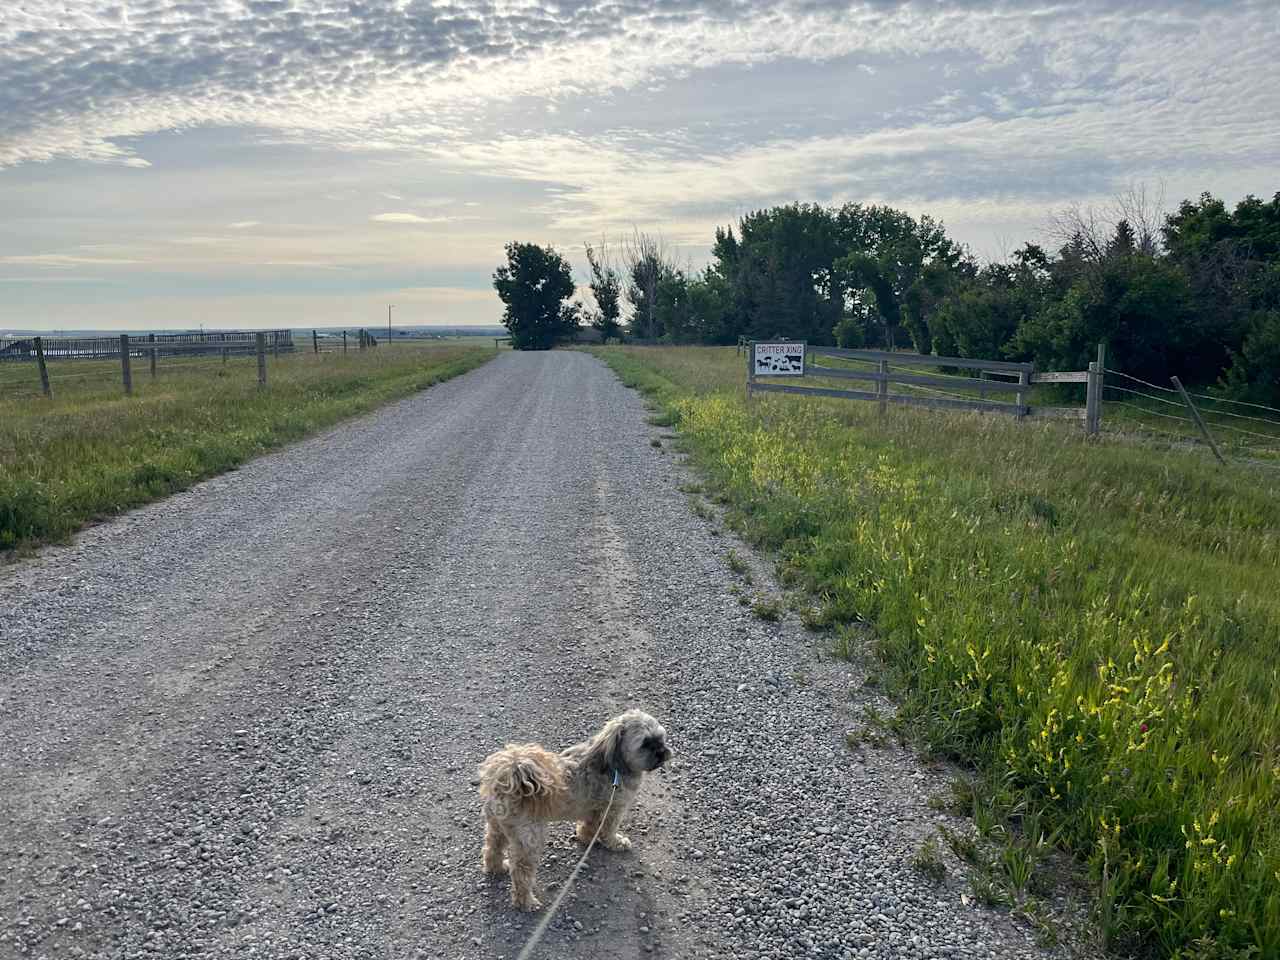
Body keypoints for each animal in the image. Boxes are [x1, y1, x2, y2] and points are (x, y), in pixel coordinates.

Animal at [478, 711, 670, 911]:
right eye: (645, 743)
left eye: (661, 738)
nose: (663, 752)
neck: (614, 765)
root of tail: (508, 777)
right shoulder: (613, 809)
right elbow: (608, 831)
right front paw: (616, 843)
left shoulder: (594, 809)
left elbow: (589, 827)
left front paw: (587, 839)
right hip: (529, 838)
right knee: (521, 872)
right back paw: (526, 901)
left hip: (498, 826)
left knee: (492, 847)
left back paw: (496, 867)